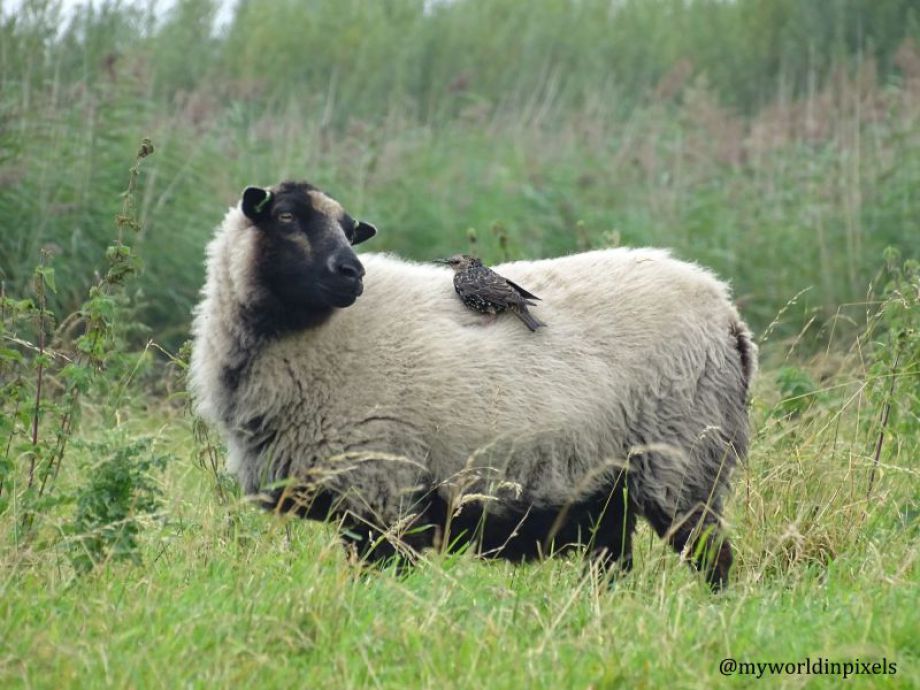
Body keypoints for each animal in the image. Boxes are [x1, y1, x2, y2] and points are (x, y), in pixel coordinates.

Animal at [190, 180, 757, 589]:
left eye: (350, 229)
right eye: (286, 218)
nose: (352, 273)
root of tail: (728, 313)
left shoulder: (381, 490)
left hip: (682, 459)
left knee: (711, 556)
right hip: (609, 487)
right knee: (614, 566)